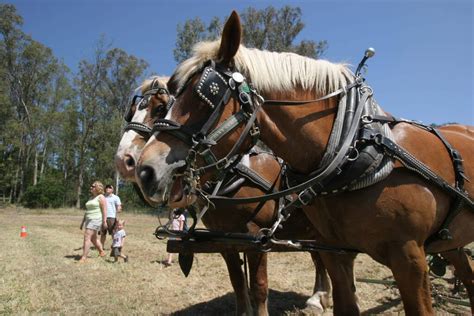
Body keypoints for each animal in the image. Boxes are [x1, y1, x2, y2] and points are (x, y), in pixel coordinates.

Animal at [114, 78, 332, 314]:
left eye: (160, 108)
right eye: (133, 111)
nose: (124, 161)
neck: (234, 173)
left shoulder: (257, 235)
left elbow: (259, 287)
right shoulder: (224, 239)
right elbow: (237, 282)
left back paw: (317, 299)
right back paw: (319, 298)